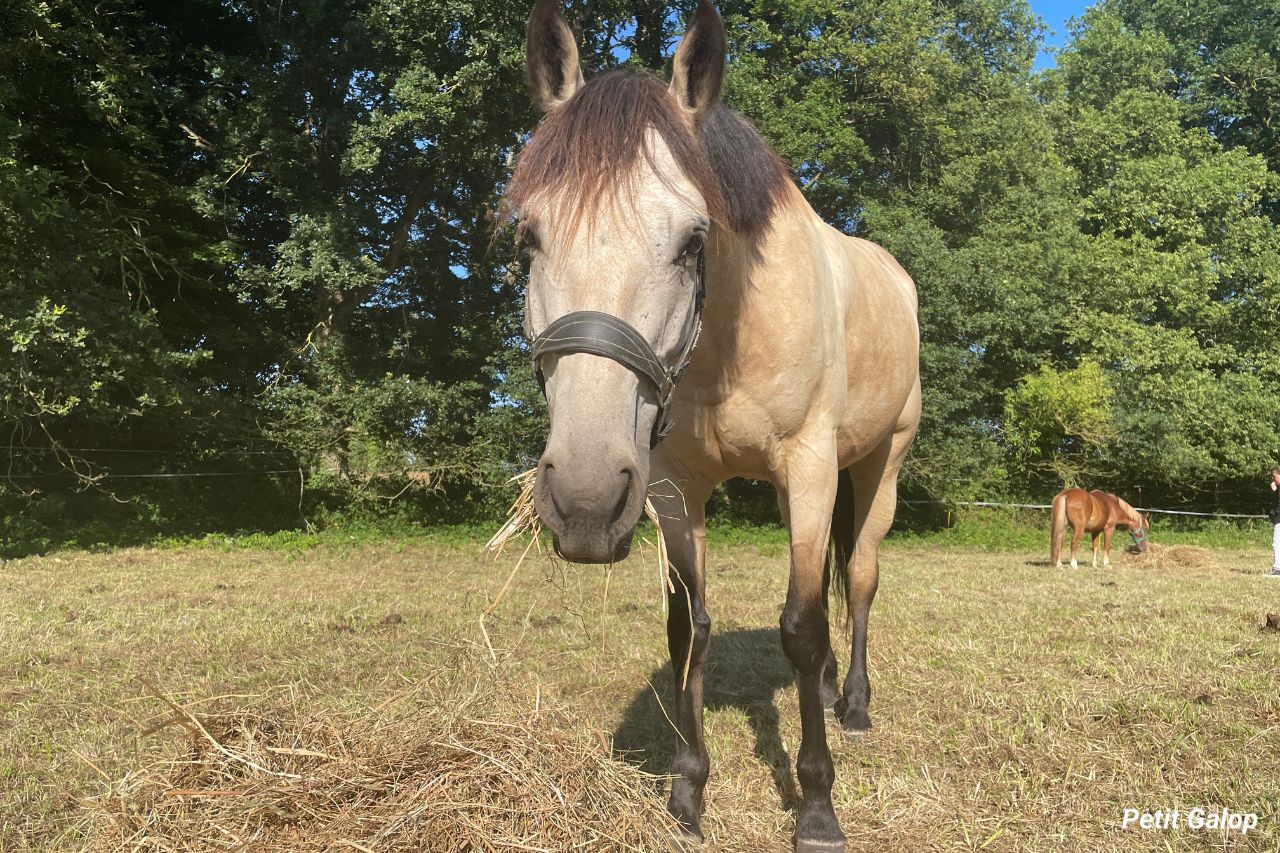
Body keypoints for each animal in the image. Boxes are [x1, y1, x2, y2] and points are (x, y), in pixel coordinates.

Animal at [507, 2, 920, 849]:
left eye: (693, 240)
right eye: (529, 237)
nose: (585, 503)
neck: (731, 331)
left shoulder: (809, 468)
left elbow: (802, 627)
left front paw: (817, 806)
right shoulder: (672, 487)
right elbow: (687, 629)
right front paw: (688, 790)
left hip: (880, 466)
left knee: (860, 579)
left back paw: (854, 703)